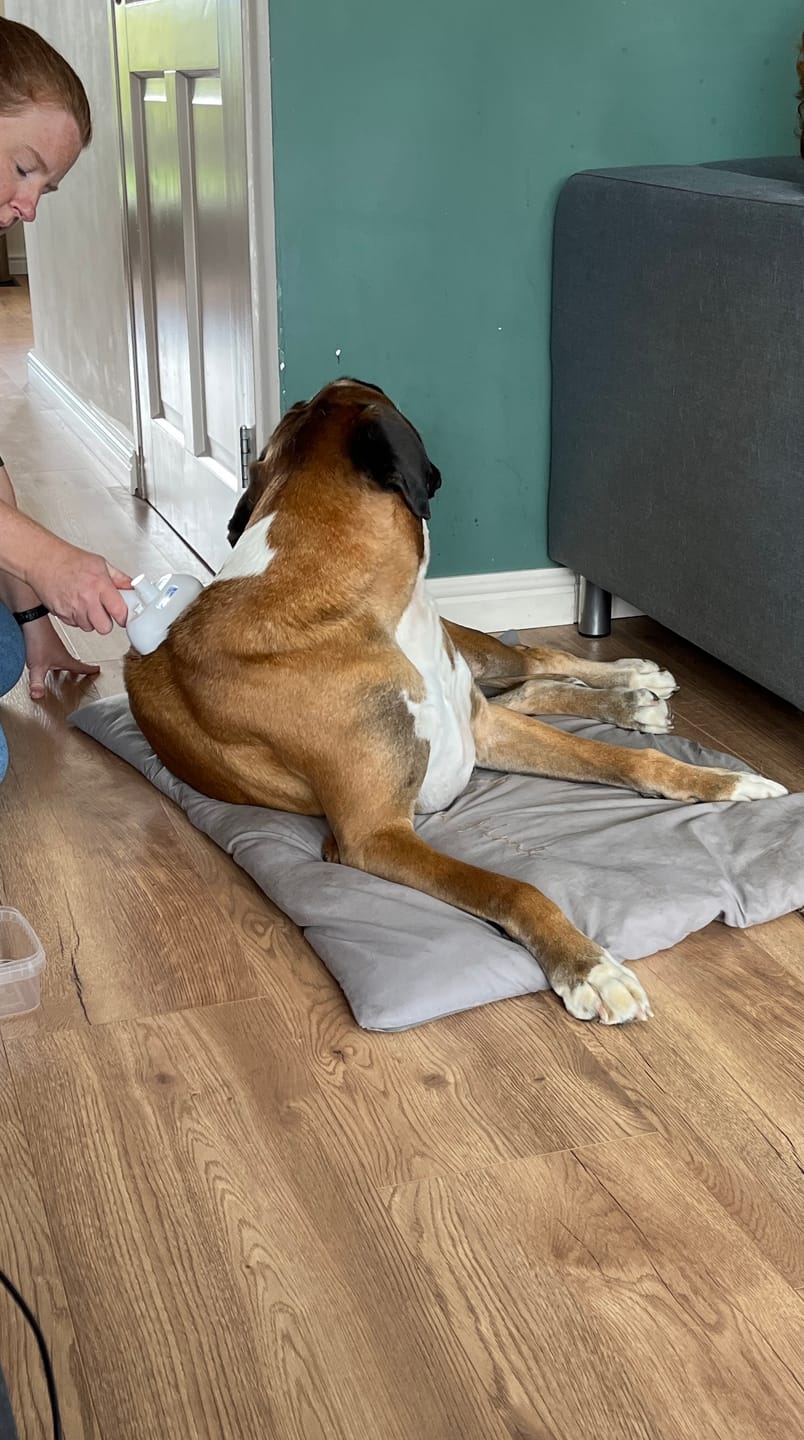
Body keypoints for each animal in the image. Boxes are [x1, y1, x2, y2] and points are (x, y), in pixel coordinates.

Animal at [125, 379, 787, 1024]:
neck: (357, 608)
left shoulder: (483, 732)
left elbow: (628, 760)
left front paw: (727, 782)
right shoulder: (375, 835)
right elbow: (512, 887)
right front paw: (588, 968)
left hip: (477, 661)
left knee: (535, 663)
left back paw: (632, 680)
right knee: (530, 688)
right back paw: (633, 699)